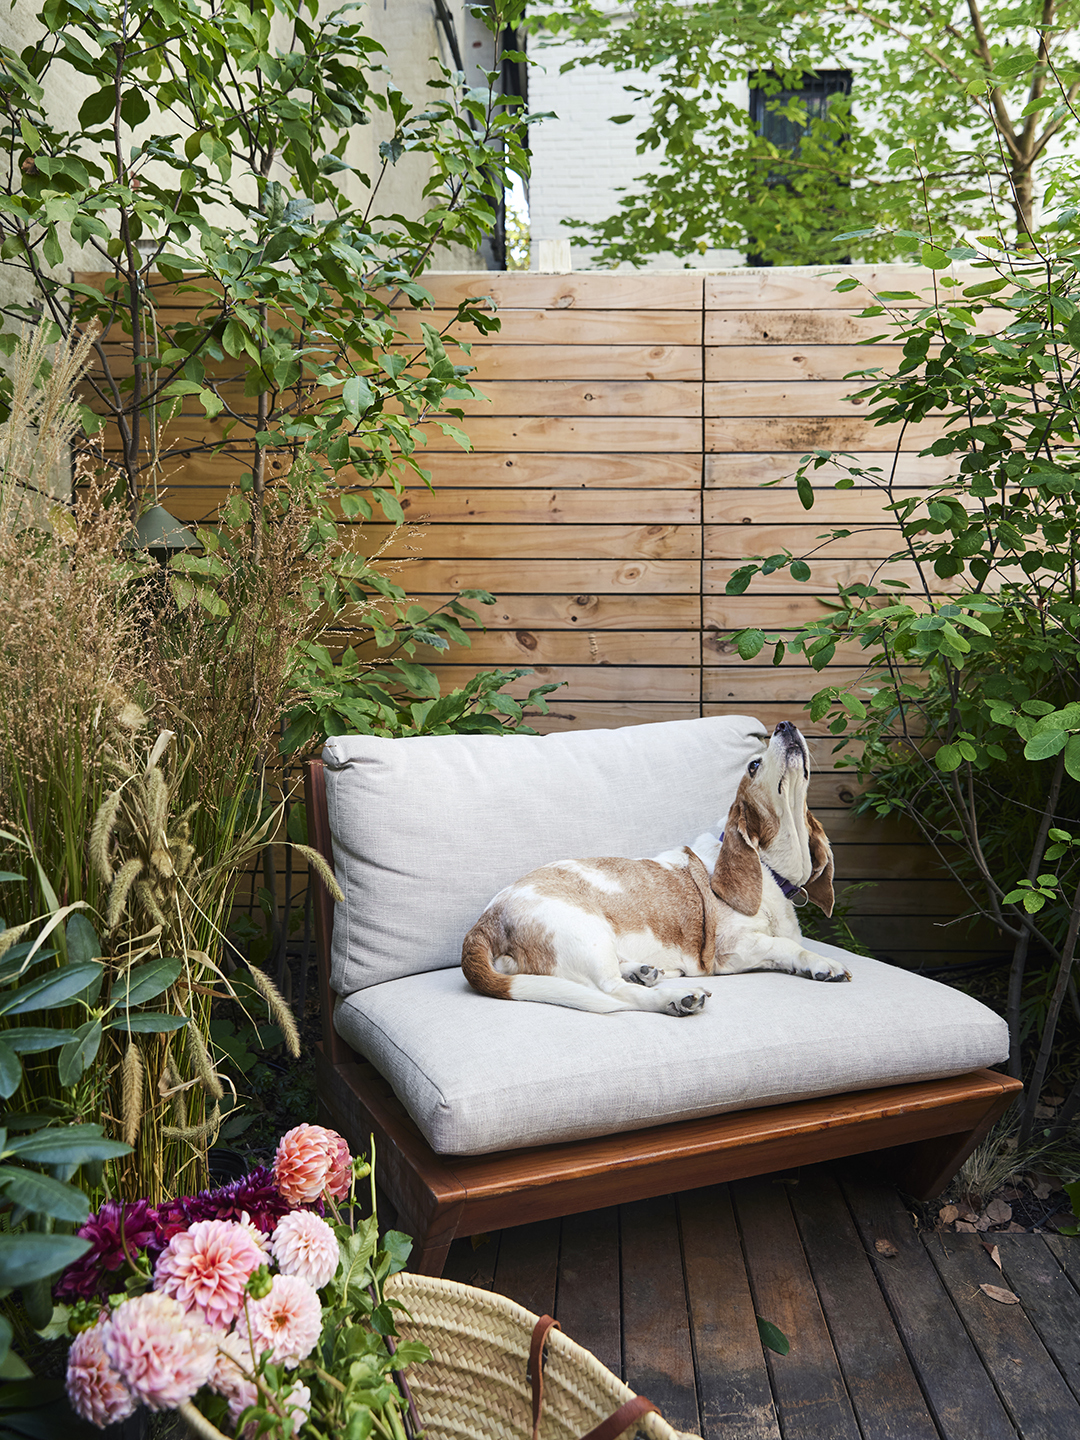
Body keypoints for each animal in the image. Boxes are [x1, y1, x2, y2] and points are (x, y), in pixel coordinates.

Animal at [460, 717, 852, 1013]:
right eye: (753, 765)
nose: (785, 724)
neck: (769, 870)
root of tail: (484, 923)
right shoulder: (732, 950)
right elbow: (786, 947)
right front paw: (823, 963)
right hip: (588, 934)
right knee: (613, 991)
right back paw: (676, 998)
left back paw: (644, 971)